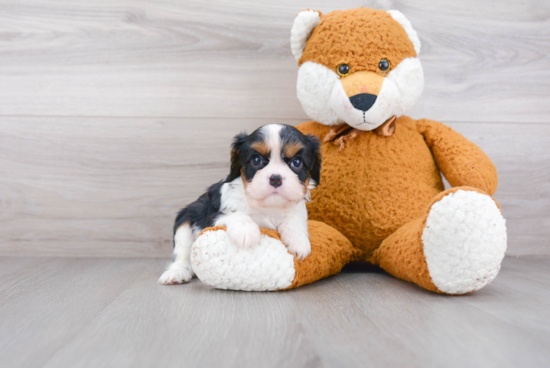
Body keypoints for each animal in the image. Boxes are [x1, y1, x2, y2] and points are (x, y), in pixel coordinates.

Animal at [158, 123, 324, 284]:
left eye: (297, 162)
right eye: (256, 160)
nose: (275, 178)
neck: (267, 206)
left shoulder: (296, 208)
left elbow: (293, 220)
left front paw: (299, 241)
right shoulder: (212, 213)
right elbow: (235, 214)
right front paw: (247, 232)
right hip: (185, 219)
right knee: (182, 253)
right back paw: (176, 273)